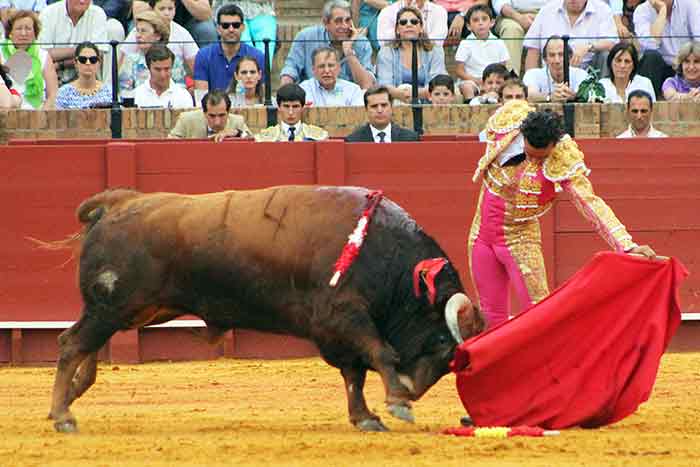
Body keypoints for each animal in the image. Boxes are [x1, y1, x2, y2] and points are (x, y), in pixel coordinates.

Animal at [49, 185, 484, 434]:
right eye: (443, 343)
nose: (412, 389)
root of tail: (118, 203)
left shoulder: (337, 332)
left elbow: (354, 375)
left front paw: (366, 417)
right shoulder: (343, 316)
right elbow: (380, 352)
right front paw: (396, 402)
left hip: (134, 309)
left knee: (83, 344)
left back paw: (73, 395)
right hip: (113, 305)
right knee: (72, 344)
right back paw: (63, 414)